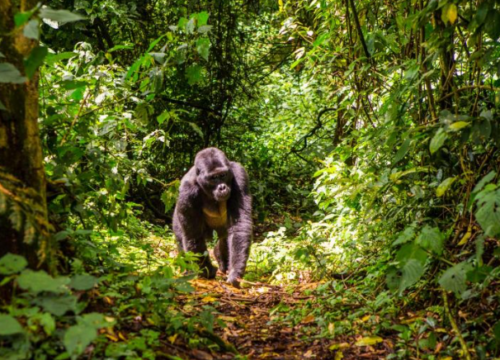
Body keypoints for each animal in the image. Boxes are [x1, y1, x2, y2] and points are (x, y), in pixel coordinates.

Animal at [173, 146, 252, 286]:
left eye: (223, 175)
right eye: (213, 178)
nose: (222, 187)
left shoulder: (239, 174)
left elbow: (239, 225)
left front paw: (235, 272)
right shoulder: (187, 190)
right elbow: (193, 236)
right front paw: (207, 271)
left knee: (225, 238)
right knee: (182, 237)